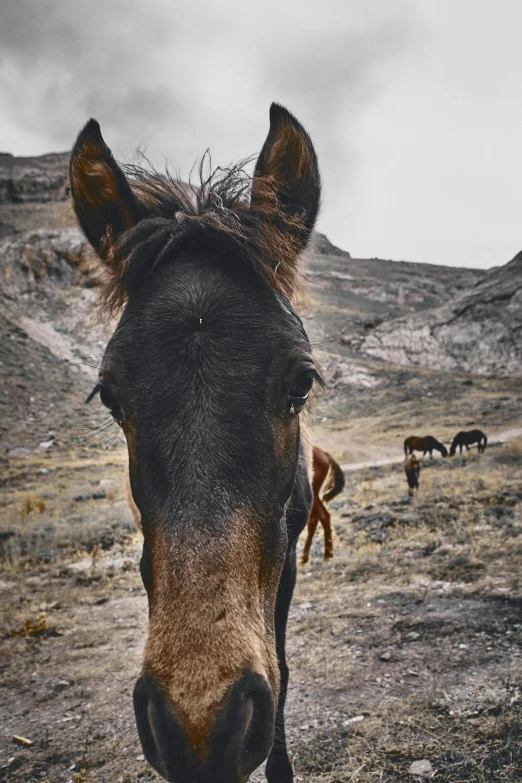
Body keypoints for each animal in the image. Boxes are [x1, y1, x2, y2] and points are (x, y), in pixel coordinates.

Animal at [69, 104, 320, 783]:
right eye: (109, 395)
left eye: (303, 382)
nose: (201, 731)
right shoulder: (148, 557)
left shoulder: (286, 559)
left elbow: (282, 665)